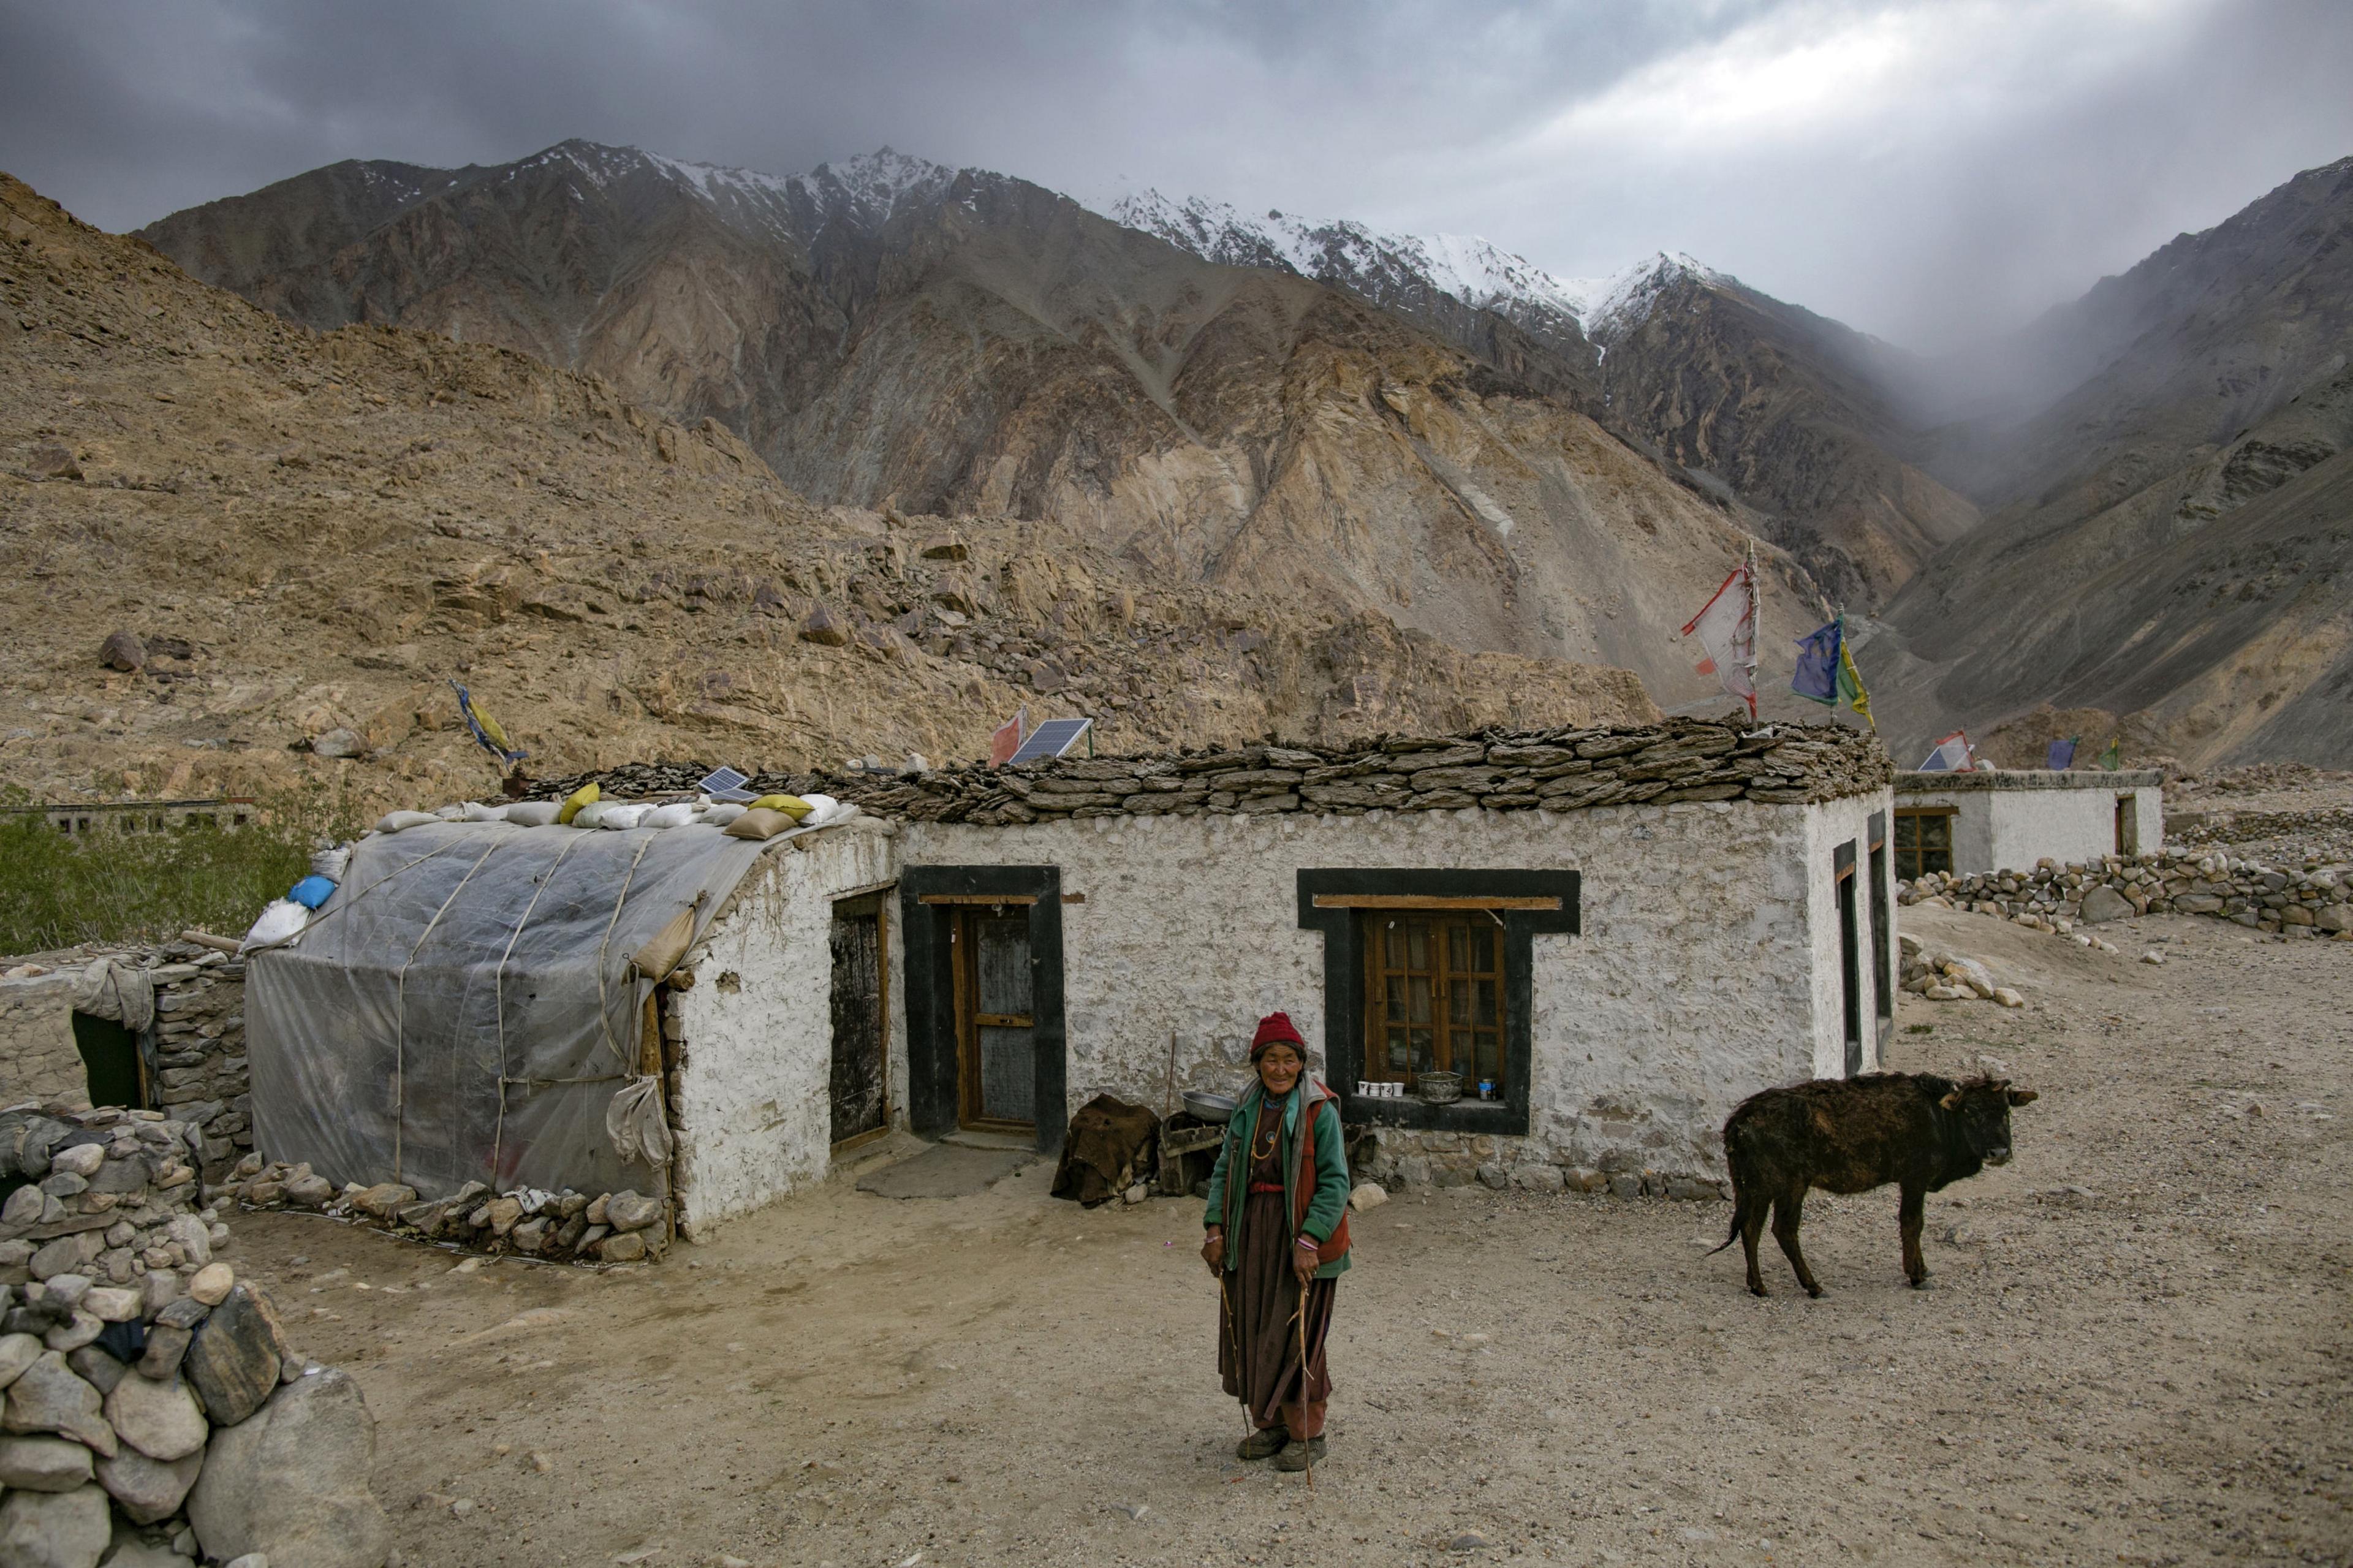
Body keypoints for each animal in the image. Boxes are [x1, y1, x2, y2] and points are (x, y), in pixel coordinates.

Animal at [1722, 1069, 2033, 1290]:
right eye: (1971, 1112)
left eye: (2006, 1111)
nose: (1999, 1152)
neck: (1938, 1116)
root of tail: (1743, 1116)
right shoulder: (1914, 1180)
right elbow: (1912, 1224)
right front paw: (1917, 1276)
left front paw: (1923, 1269)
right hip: (1787, 1186)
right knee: (1782, 1230)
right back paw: (1812, 1286)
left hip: (1763, 1188)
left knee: (1752, 1228)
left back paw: (1758, 1285)